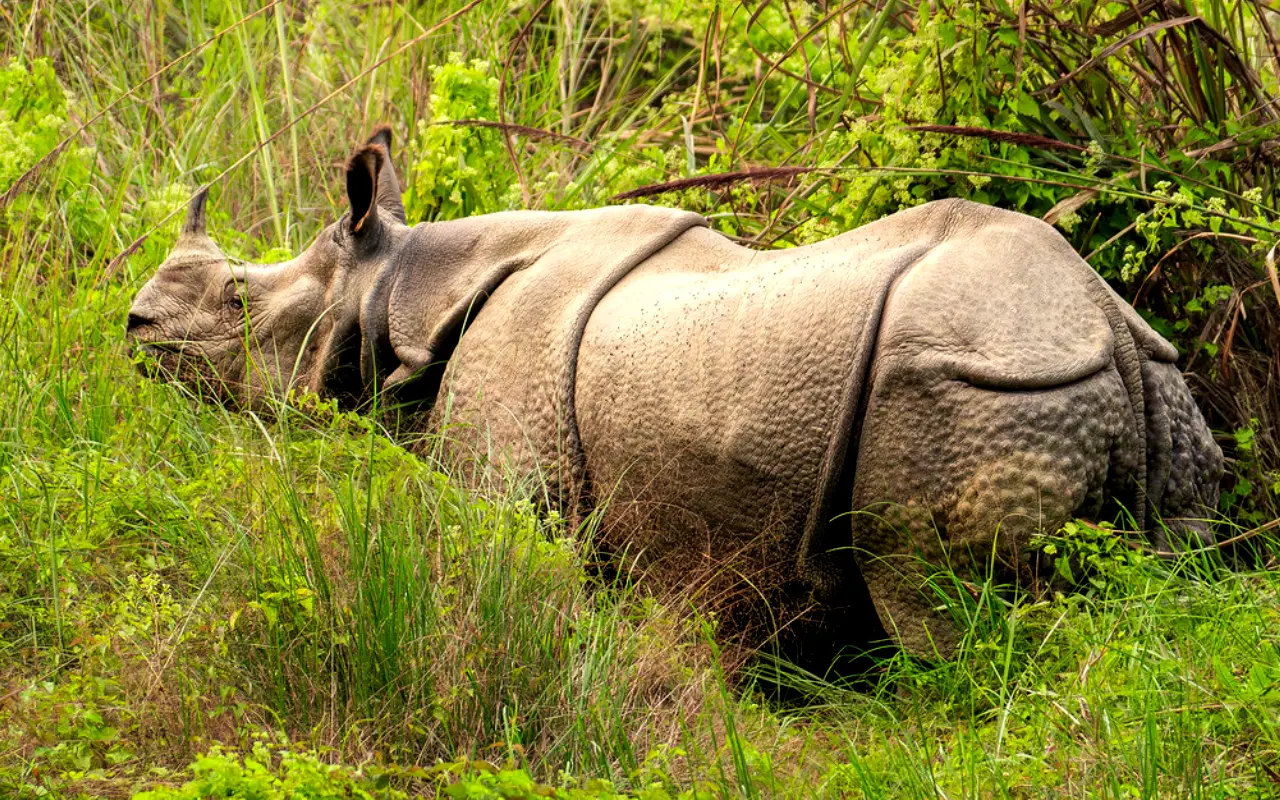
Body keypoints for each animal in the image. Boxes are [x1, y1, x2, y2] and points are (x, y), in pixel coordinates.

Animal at [127, 127, 1223, 658]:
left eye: (238, 299)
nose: (134, 329)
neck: (396, 288)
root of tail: (1098, 323)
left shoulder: (511, 478)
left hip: (975, 386)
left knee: (945, 616)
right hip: (1148, 386)